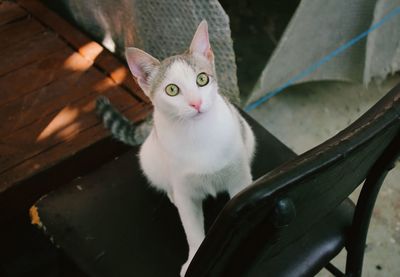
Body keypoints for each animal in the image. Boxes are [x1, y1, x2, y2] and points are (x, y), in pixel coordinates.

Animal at [95, 20, 255, 274]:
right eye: (172, 90)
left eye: (202, 79)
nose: (196, 103)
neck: (198, 135)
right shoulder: (185, 189)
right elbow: (192, 229)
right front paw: (194, 258)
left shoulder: (238, 176)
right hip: (150, 160)